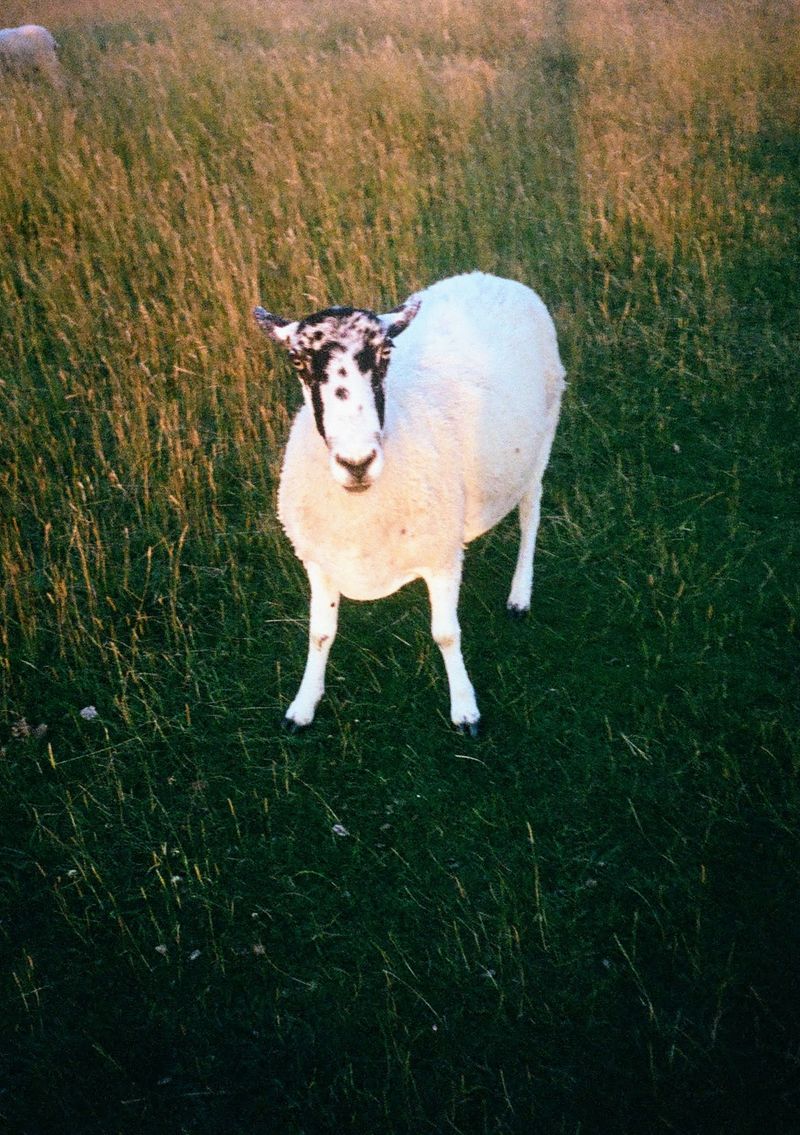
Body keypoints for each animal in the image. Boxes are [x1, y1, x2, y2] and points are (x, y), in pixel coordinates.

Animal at [253, 272, 565, 735]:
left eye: (386, 352)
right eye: (296, 360)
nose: (357, 462)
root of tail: (492, 277)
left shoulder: (440, 554)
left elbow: (446, 634)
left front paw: (465, 709)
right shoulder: (318, 559)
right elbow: (319, 634)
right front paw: (303, 706)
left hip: (541, 441)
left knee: (531, 515)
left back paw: (519, 596)